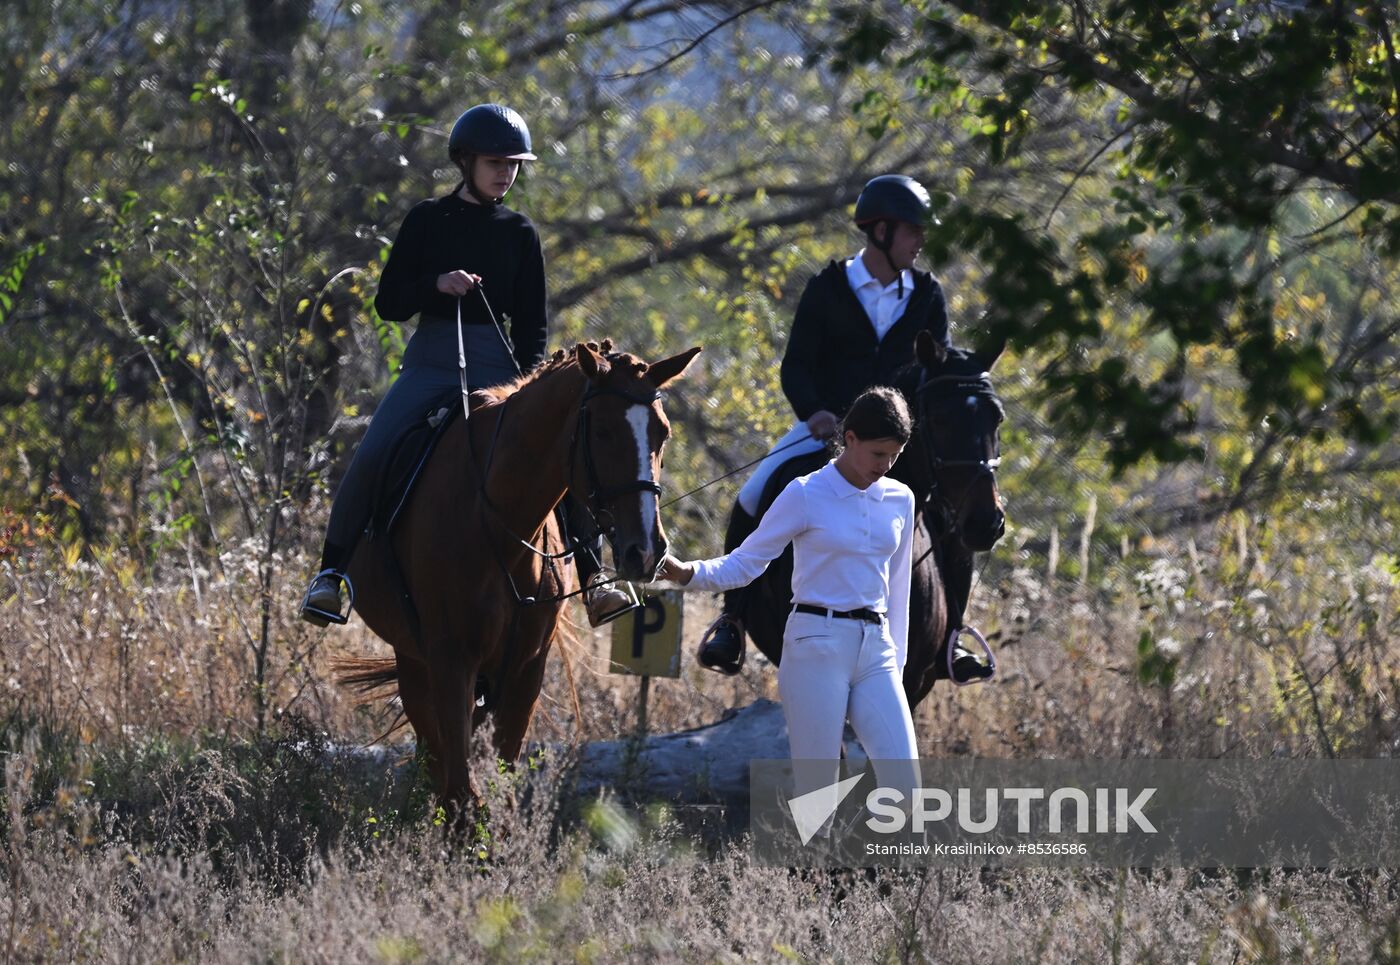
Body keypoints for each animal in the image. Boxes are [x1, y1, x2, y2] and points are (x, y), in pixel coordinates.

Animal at [340, 338, 700, 806]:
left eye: (663, 433)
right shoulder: (451, 662)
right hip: (415, 662)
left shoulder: (525, 669)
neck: (498, 522)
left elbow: (498, 780)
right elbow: (461, 792)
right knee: (434, 760)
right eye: (602, 431)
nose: (646, 550)